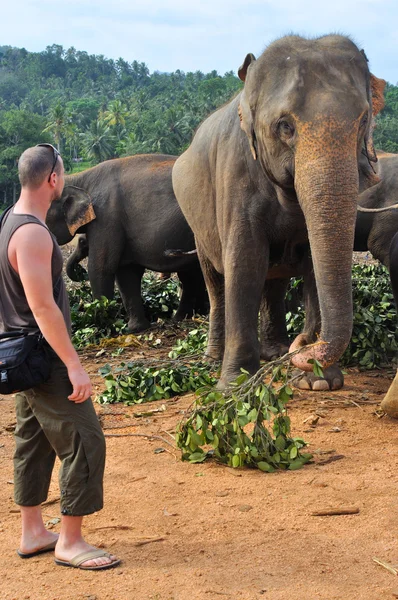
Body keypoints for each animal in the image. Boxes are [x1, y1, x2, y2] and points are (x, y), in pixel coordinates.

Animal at [45, 154, 208, 332]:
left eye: (81, 241)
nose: (79, 273)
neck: (79, 178)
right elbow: (126, 272)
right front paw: (135, 329)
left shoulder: (106, 218)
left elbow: (101, 268)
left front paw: (103, 326)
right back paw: (190, 317)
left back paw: (183, 318)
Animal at [173, 34, 384, 390]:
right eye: (284, 126)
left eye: (363, 122)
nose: (305, 343)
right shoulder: (236, 172)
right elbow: (244, 263)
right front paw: (234, 386)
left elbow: (312, 263)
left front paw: (319, 382)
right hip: (196, 222)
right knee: (215, 279)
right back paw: (215, 357)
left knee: (273, 280)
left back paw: (273, 352)